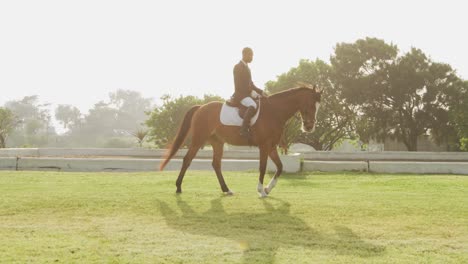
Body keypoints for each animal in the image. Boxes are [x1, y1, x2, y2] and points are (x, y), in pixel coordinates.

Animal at [159, 85, 320, 197]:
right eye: (311, 104)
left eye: (318, 106)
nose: (309, 127)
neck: (274, 111)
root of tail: (201, 107)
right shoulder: (264, 146)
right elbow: (262, 167)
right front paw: (261, 191)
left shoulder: (271, 146)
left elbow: (280, 167)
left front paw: (268, 189)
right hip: (199, 140)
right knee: (187, 159)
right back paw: (178, 187)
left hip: (217, 142)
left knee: (216, 164)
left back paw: (226, 189)